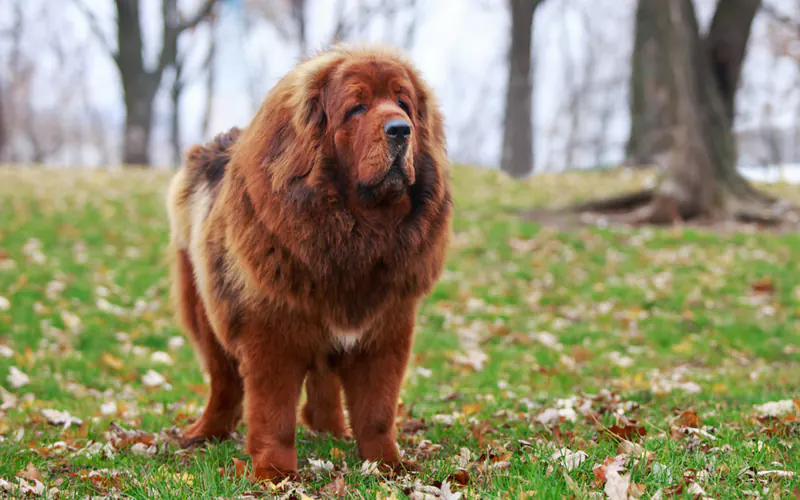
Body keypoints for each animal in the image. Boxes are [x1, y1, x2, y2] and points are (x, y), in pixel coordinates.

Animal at [166, 47, 454, 480]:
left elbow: (377, 411)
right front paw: (275, 472)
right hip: (206, 310)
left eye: (403, 104)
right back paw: (204, 433)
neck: (355, 235)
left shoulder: (386, 331)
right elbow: (274, 414)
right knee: (224, 382)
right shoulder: (271, 334)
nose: (401, 130)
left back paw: (330, 430)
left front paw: (387, 465)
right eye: (357, 107)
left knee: (323, 382)